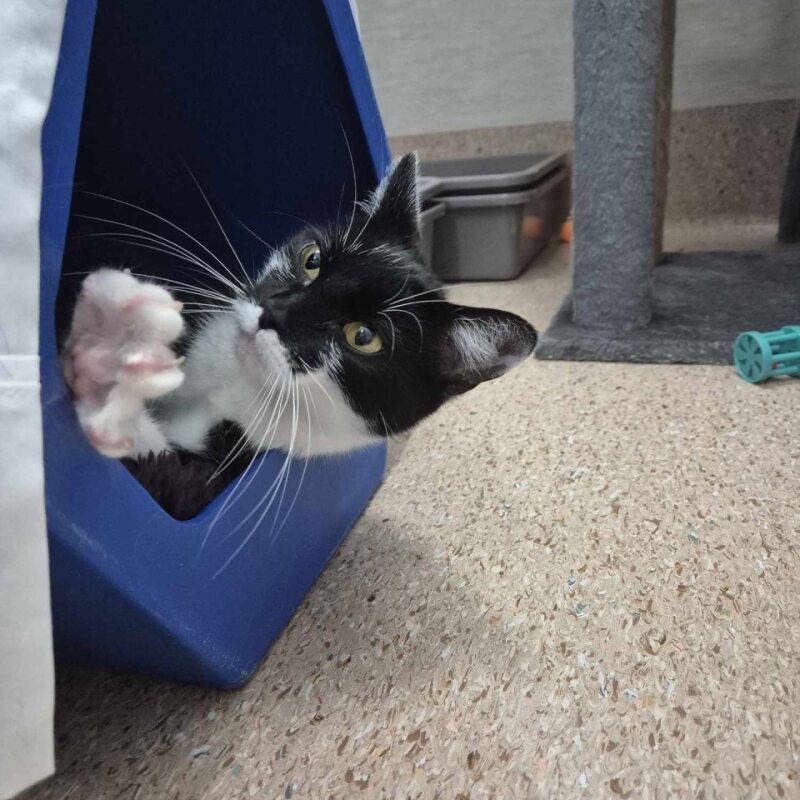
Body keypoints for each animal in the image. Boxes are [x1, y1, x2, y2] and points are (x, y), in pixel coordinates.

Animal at [61, 153, 537, 518]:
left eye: (364, 336)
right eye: (312, 260)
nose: (273, 312)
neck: (231, 382)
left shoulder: (225, 465)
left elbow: (165, 479)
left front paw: (103, 352)